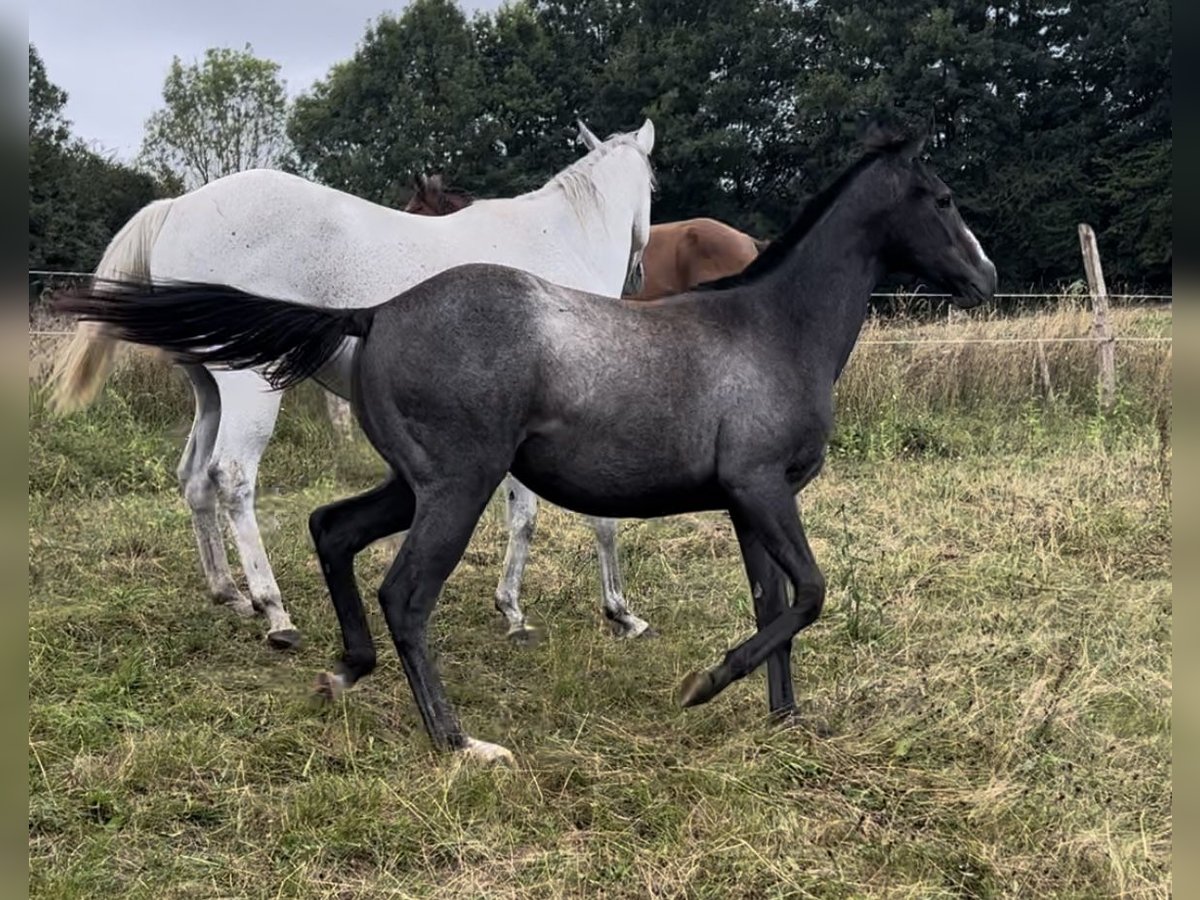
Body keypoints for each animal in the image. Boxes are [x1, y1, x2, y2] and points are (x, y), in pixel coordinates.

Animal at [51, 123, 657, 652]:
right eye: (653, 184)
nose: (640, 274)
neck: (557, 242)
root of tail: (178, 207)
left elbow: (526, 517)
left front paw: (515, 609)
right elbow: (578, 518)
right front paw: (615, 612)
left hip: (209, 388)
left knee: (195, 477)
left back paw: (229, 593)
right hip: (249, 387)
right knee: (232, 478)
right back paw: (274, 611)